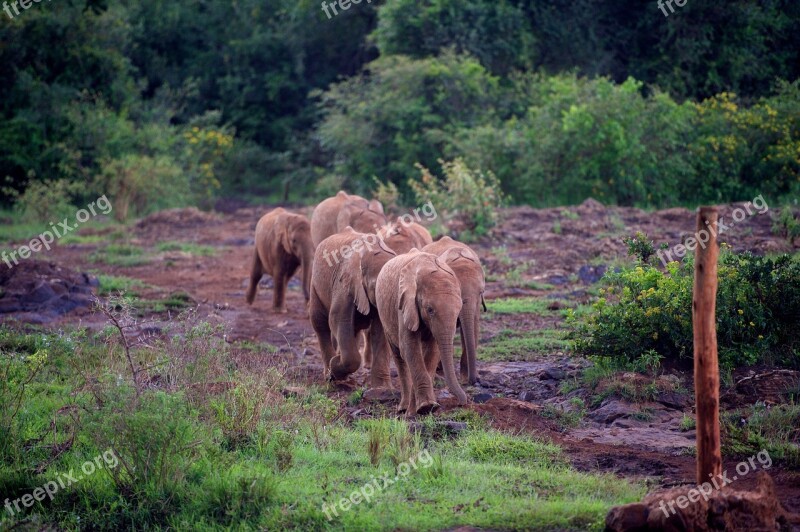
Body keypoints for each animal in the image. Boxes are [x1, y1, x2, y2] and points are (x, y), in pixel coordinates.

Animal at [310, 225, 396, 386]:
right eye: (374, 286)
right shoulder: (345, 281)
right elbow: (337, 319)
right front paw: (334, 368)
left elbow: (380, 330)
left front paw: (381, 388)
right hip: (315, 284)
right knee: (320, 323)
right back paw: (329, 375)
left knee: (352, 329)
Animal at [376, 249, 468, 416]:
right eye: (430, 310)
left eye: (459, 310)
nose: (462, 403)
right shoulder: (404, 303)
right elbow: (409, 347)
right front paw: (426, 407)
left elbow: (433, 351)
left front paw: (425, 408)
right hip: (384, 315)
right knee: (399, 356)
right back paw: (403, 409)